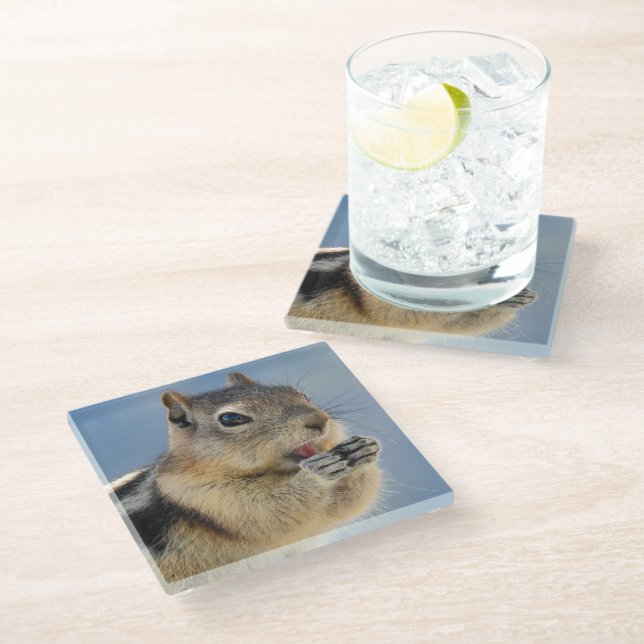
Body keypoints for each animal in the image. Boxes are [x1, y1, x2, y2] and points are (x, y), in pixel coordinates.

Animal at [112, 372, 382, 583]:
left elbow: (343, 507)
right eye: (231, 419)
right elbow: (274, 510)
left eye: (299, 393)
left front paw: (362, 449)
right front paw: (317, 474)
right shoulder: (209, 498)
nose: (319, 420)